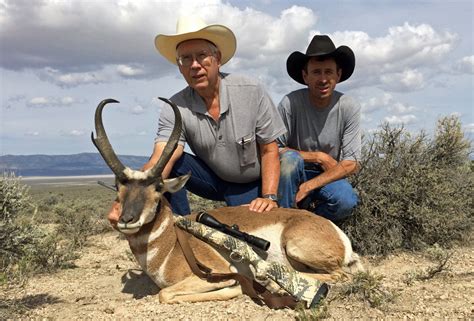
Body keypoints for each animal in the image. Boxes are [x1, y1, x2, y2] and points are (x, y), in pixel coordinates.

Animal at [90, 97, 362, 302]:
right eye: (118, 187)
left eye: (157, 187)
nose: (126, 219)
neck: (170, 241)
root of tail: (336, 232)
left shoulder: (212, 273)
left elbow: (165, 294)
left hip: (296, 247)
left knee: (339, 275)